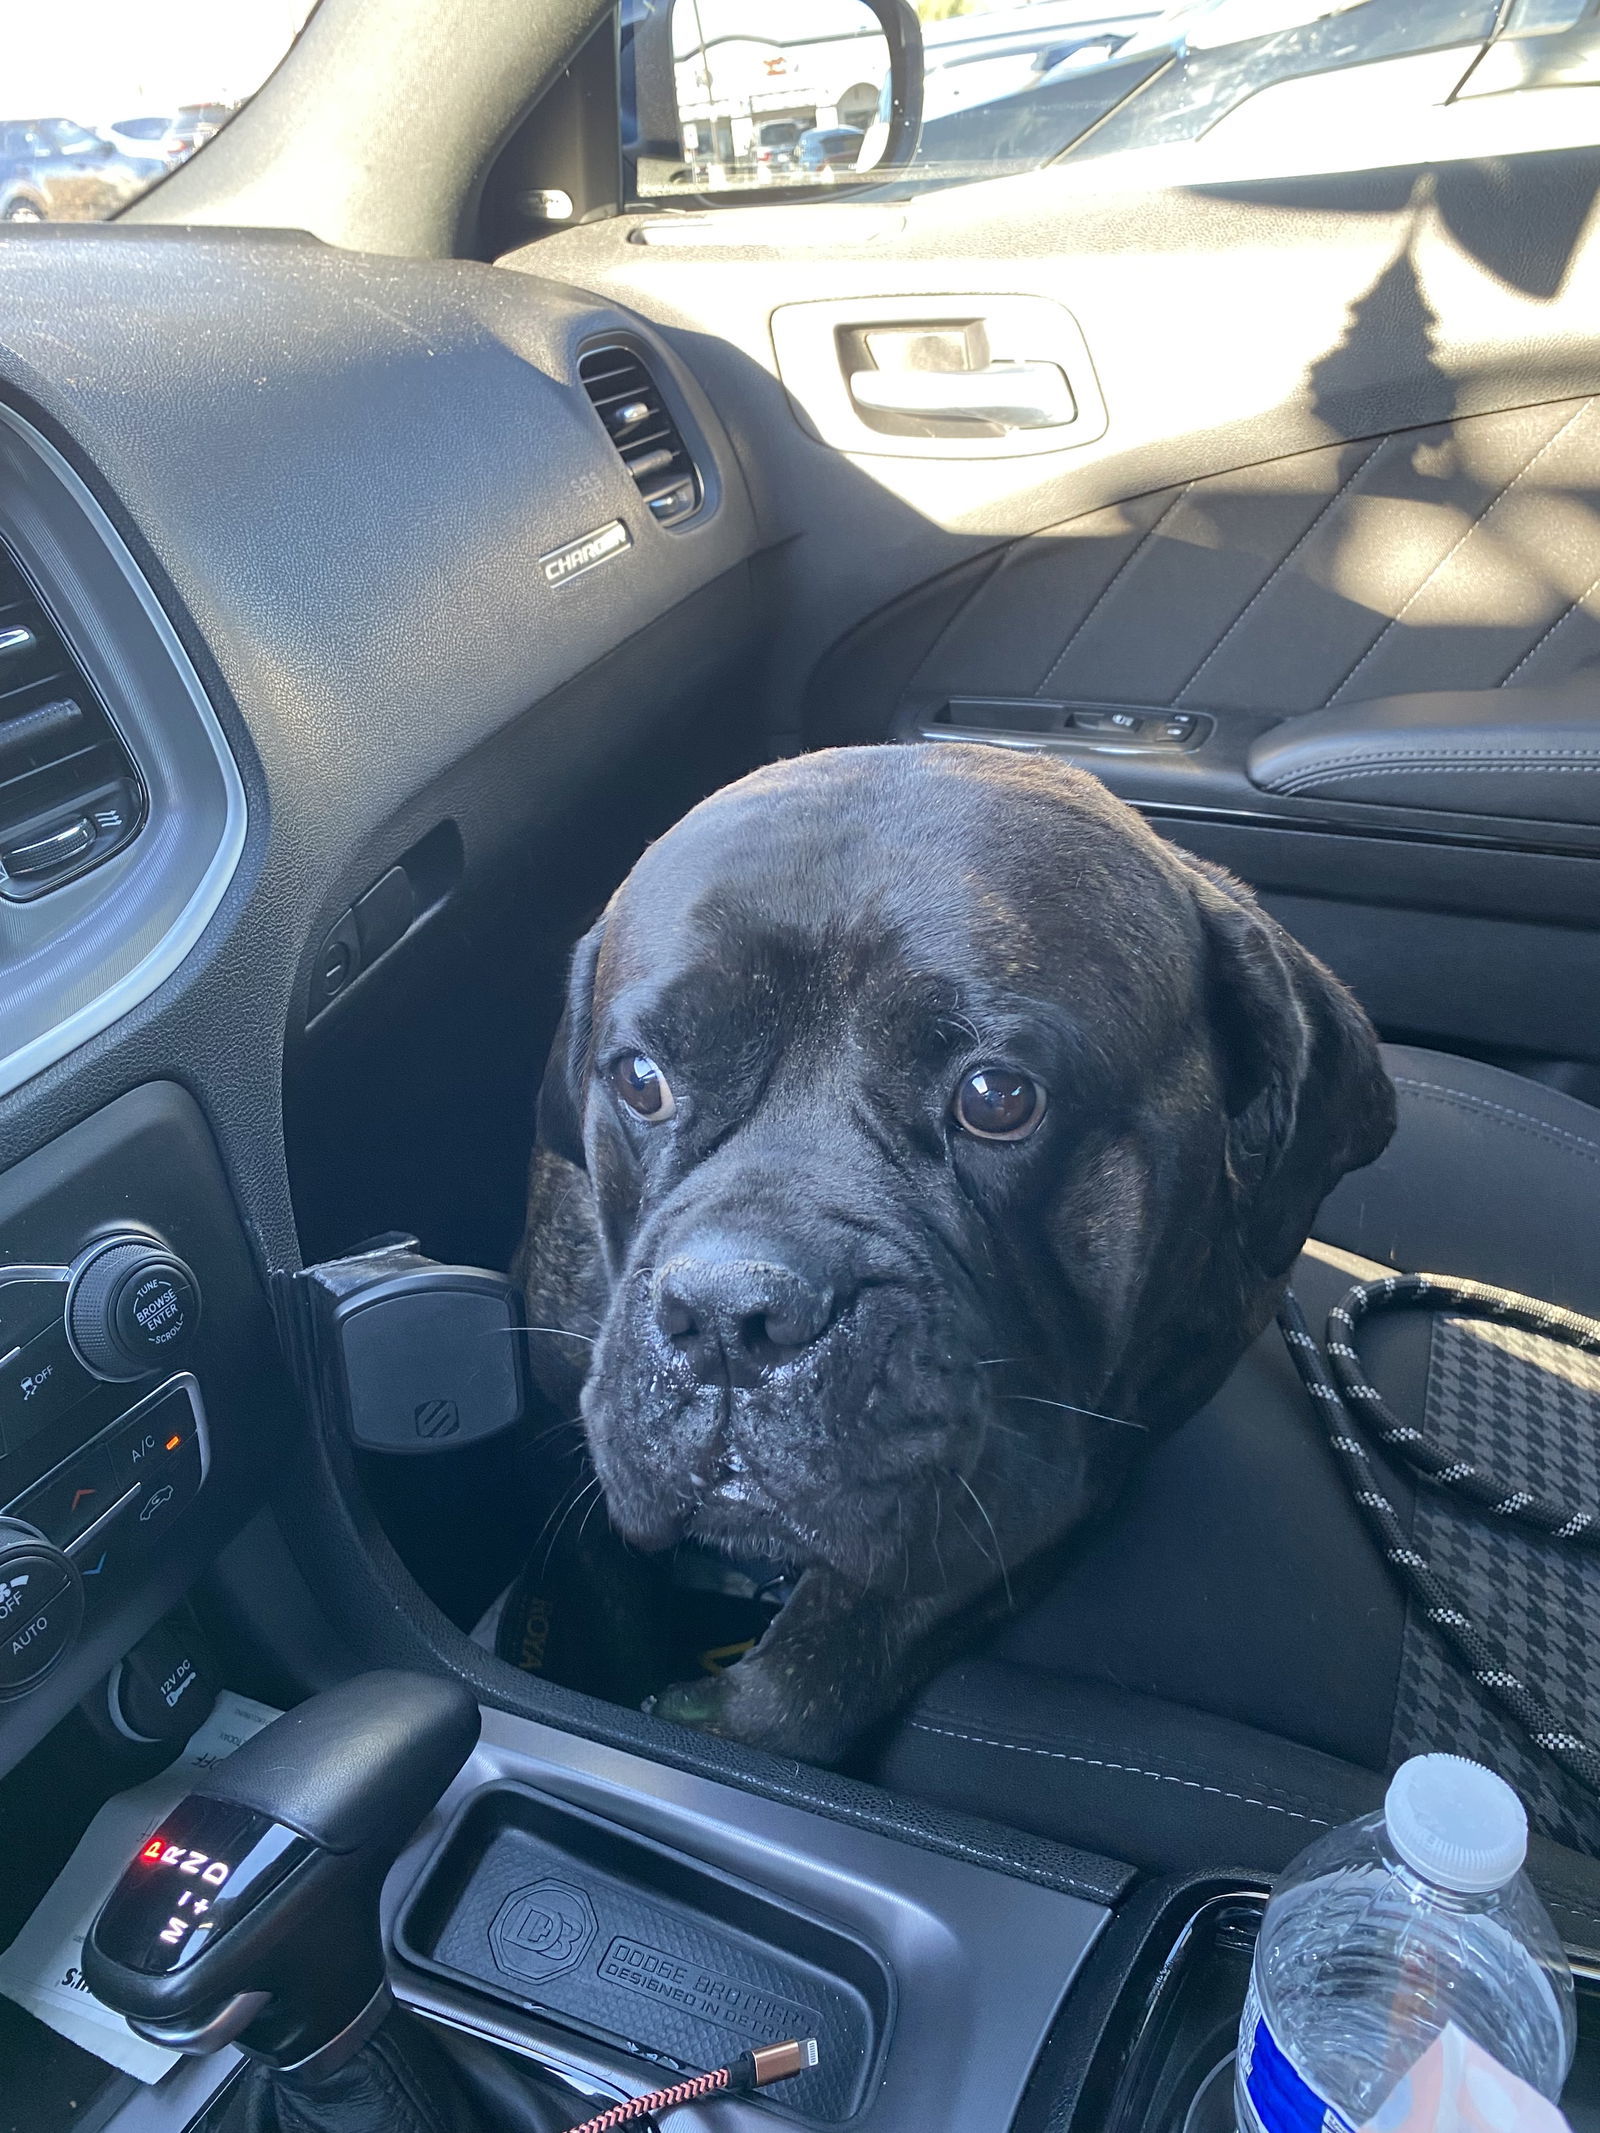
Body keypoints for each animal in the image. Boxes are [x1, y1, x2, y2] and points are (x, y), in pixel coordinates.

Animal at [520, 742, 1399, 1757]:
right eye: (641, 1079)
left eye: (997, 1097)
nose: (733, 1314)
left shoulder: (1047, 1488)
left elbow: (845, 1643)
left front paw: (744, 1708)